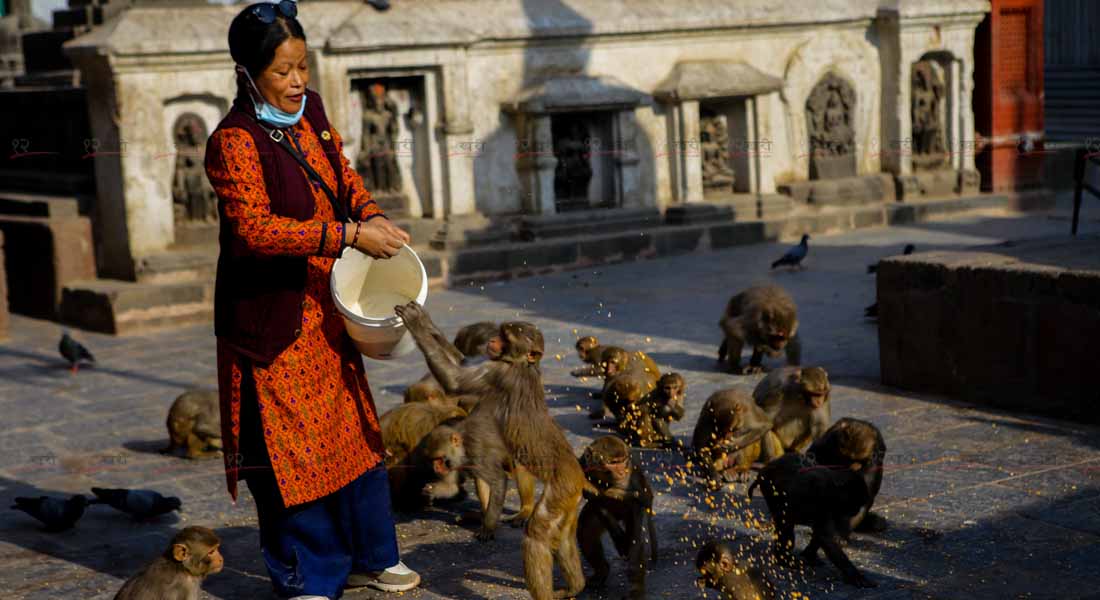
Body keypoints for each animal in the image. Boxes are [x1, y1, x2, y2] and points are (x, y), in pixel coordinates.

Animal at [391, 303, 589, 598]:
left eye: (508, 336)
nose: (494, 341)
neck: (524, 365)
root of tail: (578, 474)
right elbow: (461, 362)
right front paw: (427, 322)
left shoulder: (500, 372)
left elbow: (454, 380)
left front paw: (415, 323)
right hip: (570, 498)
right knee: (564, 535)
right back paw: (577, 586)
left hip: (561, 486)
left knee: (538, 532)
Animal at [580, 435, 655, 598]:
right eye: (614, 463)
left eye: (622, 461)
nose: (622, 472)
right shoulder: (582, 465)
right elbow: (591, 496)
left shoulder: (633, 469)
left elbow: (644, 497)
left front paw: (611, 491)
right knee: (586, 533)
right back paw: (601, 572)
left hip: (632, 517)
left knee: (635, 548)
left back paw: (636, 591)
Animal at [748, 453, 875, 585]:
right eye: (855, 503)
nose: (857, 510)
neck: (833, 489)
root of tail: (764, 469)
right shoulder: (821, 496)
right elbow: (826, 537)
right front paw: (854, 574)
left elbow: (822, 535)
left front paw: (809, 554)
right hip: (768, 486)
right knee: (785, 524)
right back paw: (783, 558)